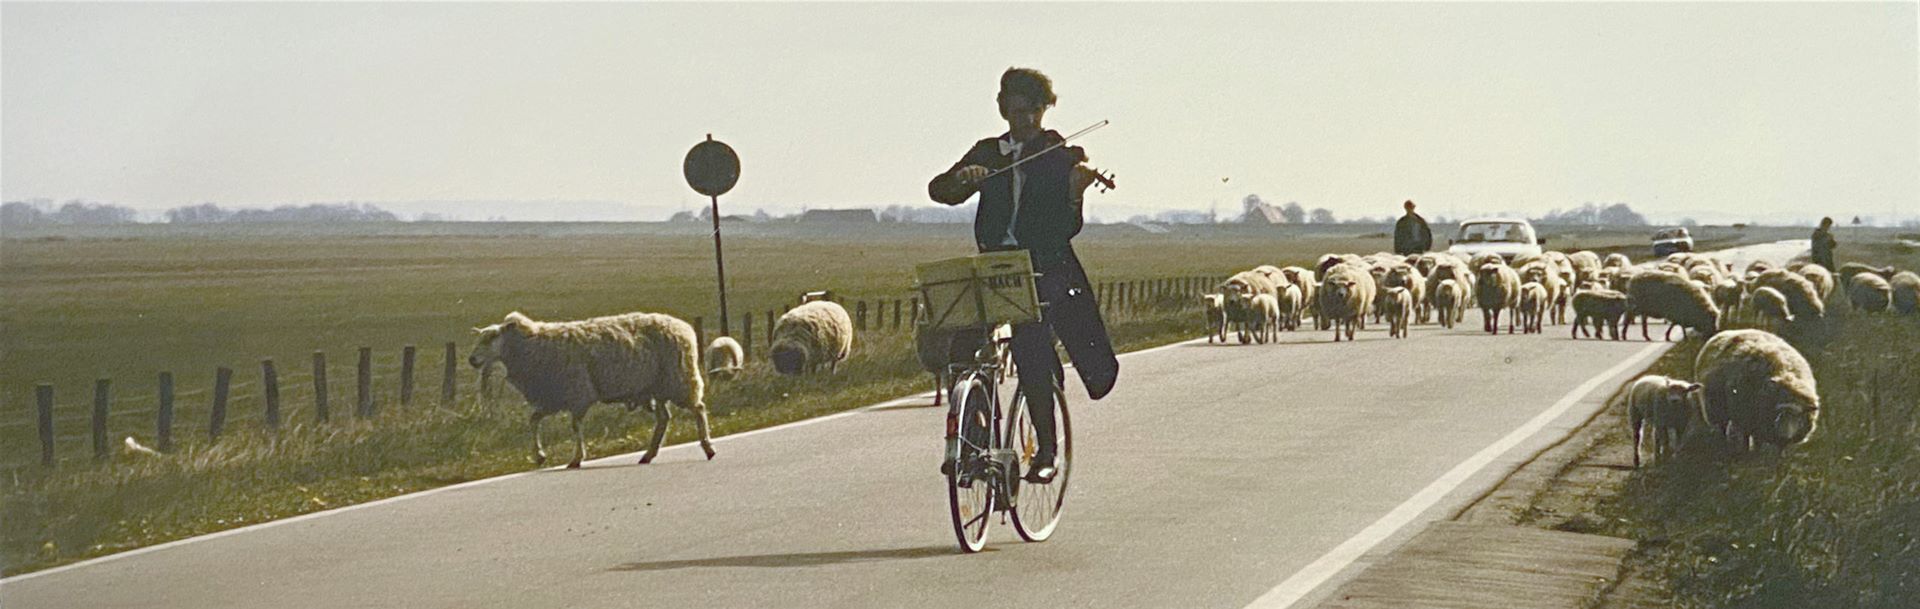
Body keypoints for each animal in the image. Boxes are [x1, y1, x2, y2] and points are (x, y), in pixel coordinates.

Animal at [468, 311, 718, 466]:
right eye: (479, 338)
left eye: (492, 337)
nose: (472, 360)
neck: (530, 346)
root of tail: (682, 326)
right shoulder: (553, 398)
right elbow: (534, 420)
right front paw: (539, 456)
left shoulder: (578, 393)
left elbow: (575, 426)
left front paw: (576, 458)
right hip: (657, 386)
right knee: (664, 418)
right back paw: (648, 455)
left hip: (679, 379)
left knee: (698, 408)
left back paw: (708, 448)